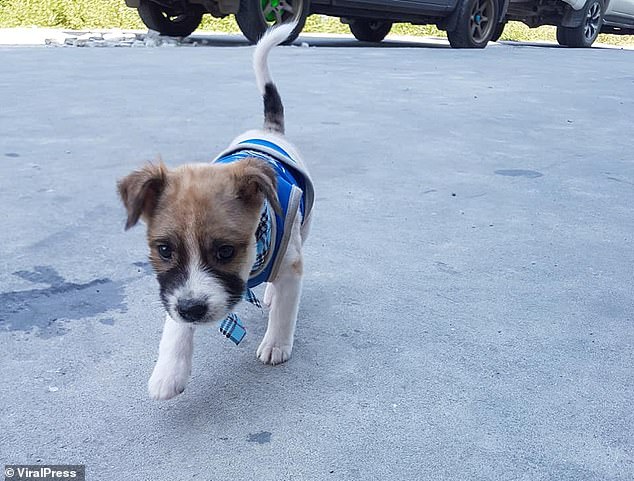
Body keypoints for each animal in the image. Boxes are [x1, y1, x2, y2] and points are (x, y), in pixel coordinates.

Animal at [117, 20, 312, 400]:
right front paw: (169, 371)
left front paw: (276, 344)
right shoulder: (175, 289)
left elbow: (286, 309)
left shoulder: (292, 260)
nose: (193, 310)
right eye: (164, 250)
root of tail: (268, 130)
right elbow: (174, 325)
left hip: (304, 223)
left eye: (225, 251)